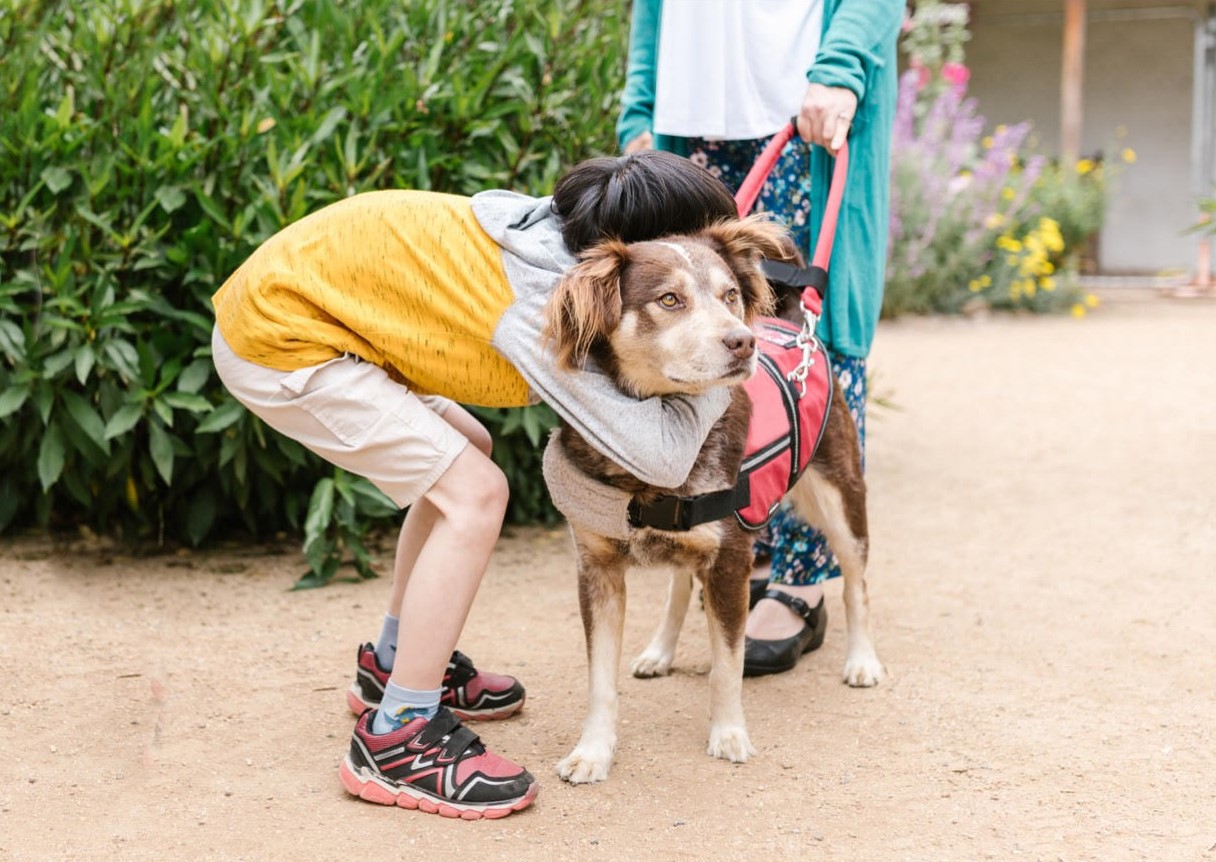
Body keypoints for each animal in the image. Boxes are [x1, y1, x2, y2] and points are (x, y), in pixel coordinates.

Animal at [542, 211, 885, 782]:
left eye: (729, 296)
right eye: (669, 299)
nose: (743, 342)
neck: (658, 444)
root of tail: (793, 327)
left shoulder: (730, 560)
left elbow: (728, 663)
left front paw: (728, 734)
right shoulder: (596, 568)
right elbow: (599, 680)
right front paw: (593, 751)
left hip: (840, 496)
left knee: (856, 582)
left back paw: (862, 660)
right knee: (681, 583)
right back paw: (659, 651)